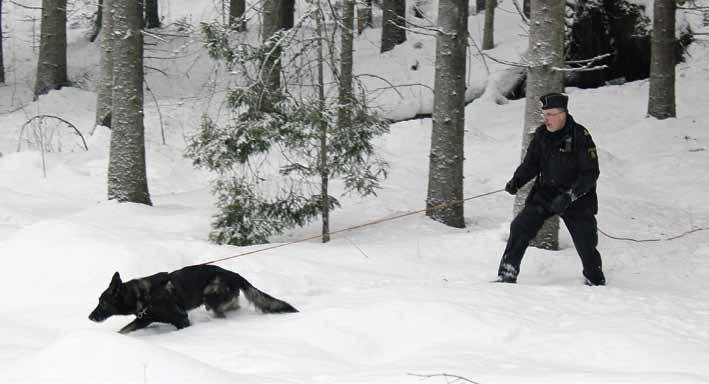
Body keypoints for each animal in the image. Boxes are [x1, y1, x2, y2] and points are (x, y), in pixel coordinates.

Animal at [89, 264, 296, 332]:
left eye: (103, 303)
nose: (90, 317)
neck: (143, 296)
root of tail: (235, 275)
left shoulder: (181, 319)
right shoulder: (143, 320)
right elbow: (123, 331)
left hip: (210, 295)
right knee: (233, 306)